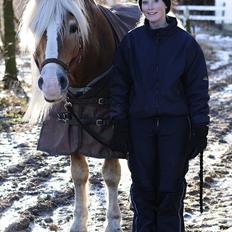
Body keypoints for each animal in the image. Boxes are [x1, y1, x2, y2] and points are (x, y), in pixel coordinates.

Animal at [18, 0, 140, 232]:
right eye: (36, 28)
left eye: (74, 27)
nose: (51, 84)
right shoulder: (71, 133)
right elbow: (79, 174)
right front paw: (78, 222)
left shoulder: (111, 136)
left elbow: (111, 176)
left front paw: (113, 222)